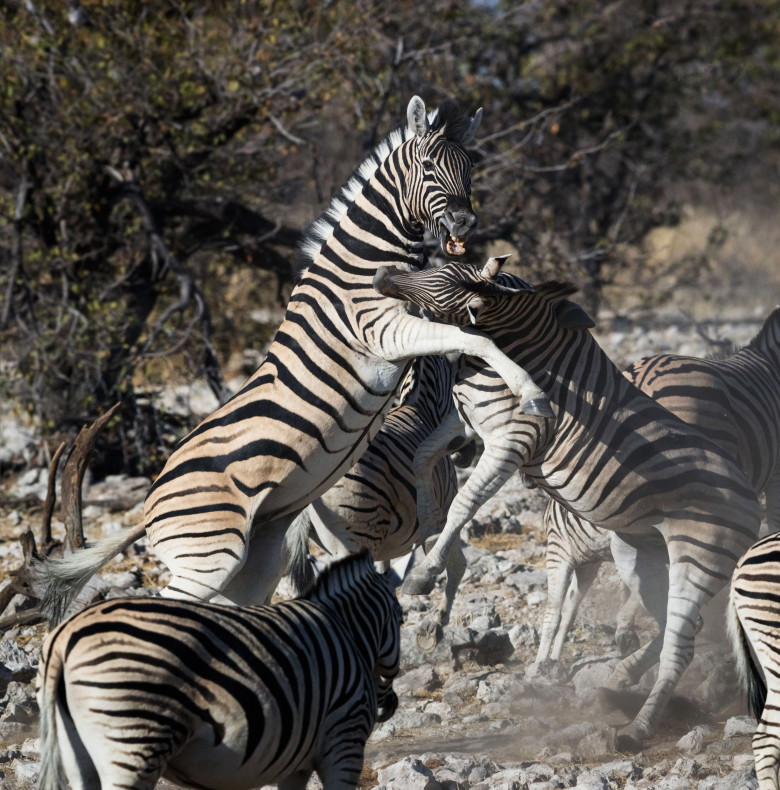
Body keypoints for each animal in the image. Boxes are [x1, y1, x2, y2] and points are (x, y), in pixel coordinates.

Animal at [36, 94, 548, 624]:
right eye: (428, 167)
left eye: (471, 169)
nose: (466, 224)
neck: (364, 263)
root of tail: (148, 503)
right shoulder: (384, 330)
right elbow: (472, 340)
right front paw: (530, 391)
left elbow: (464, 336)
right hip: (208, 558)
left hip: (254, 563)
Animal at [36, 552, 402, 790]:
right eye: (401, 619)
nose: (390, 707)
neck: (349, 633)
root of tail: (63, 640)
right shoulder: (344, 741)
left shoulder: (296, 764)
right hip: (135, 738)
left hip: (76, 752)